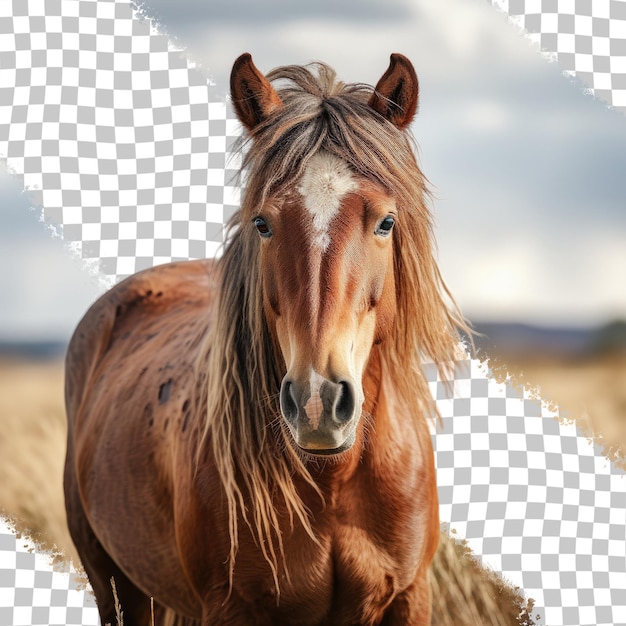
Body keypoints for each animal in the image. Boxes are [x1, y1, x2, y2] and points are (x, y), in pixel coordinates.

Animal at [64, 53, 464, 624]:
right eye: (262, 224)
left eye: (386, 222)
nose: (318, 402)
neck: (333, 482)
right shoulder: (229, 607)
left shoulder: (410, 596)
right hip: (114, 585)